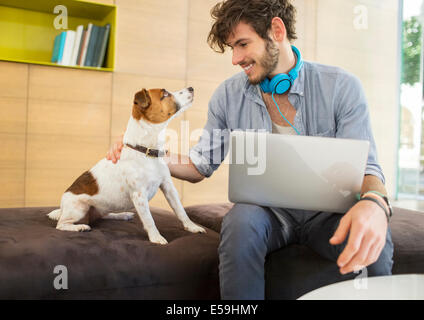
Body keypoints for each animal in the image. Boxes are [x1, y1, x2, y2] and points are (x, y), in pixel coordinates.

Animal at [48, 86, 205, 244]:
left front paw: (192, 227)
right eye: (165, 94)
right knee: (61, 224)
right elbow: (149, 220)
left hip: (100, 208)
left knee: (103, 216)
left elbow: (180, 210)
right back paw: (79, 227)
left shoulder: (168, 187)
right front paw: (156, 237)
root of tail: (62, 208)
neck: (146, 152)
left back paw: (121, 215)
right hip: (79, 208)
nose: (191, 87)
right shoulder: (139, 195)